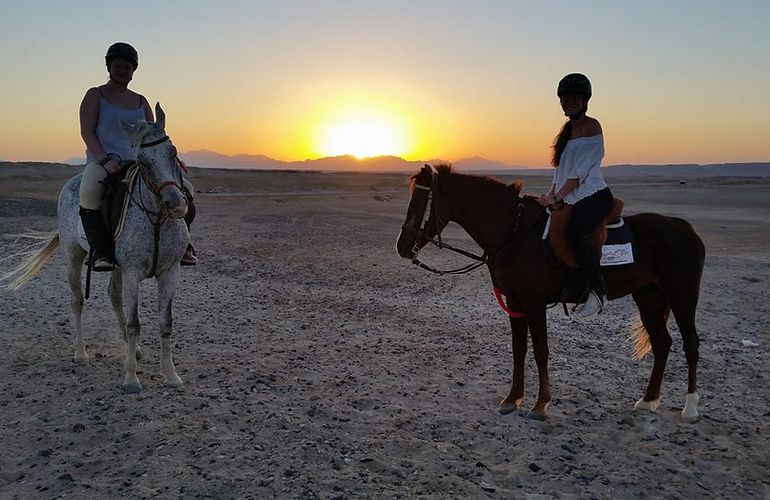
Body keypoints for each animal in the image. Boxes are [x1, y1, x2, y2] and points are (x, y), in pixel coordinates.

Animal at [4, 103, 189, 394]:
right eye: (143, 162)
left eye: (173, 152)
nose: (176, 204)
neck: (157, 219)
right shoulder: (133, 272)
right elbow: (134, 323)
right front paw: (131, 379)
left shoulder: (170, 271)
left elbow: (165, 322)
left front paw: (170, 374)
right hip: (73, 256)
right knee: (77, 300)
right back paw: (81, 353)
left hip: (116, 267)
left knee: (114, 297)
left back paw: (132, 350)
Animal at [396, 165, 704, 422]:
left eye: (421, 201)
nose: (402, 245)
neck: (514, 233)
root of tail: (686, 228)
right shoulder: (515, 302)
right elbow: (519, 350)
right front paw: (512, 399)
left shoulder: (534, 304)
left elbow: (541, 351)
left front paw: (540, 404)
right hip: (649, 297)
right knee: (662, 343)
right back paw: (648, 400)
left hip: (682, 295)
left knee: (691, 344)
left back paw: (690, 409)